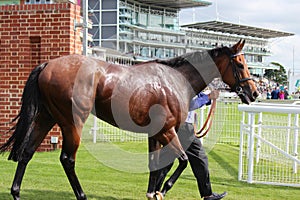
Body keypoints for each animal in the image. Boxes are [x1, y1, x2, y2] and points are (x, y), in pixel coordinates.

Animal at [0, 39, 258, 199]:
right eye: (240, 64)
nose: (254, 93)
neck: (175, 80)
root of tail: (47, 65)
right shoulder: (167, 130)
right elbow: (183, 160)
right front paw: (163, 189)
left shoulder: (155, 133)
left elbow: (156, 164)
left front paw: (153, 192)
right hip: (72, 122)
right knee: (67, 159)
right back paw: (81, 195)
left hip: (46, 117)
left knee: (26, 153)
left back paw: (16, 192)